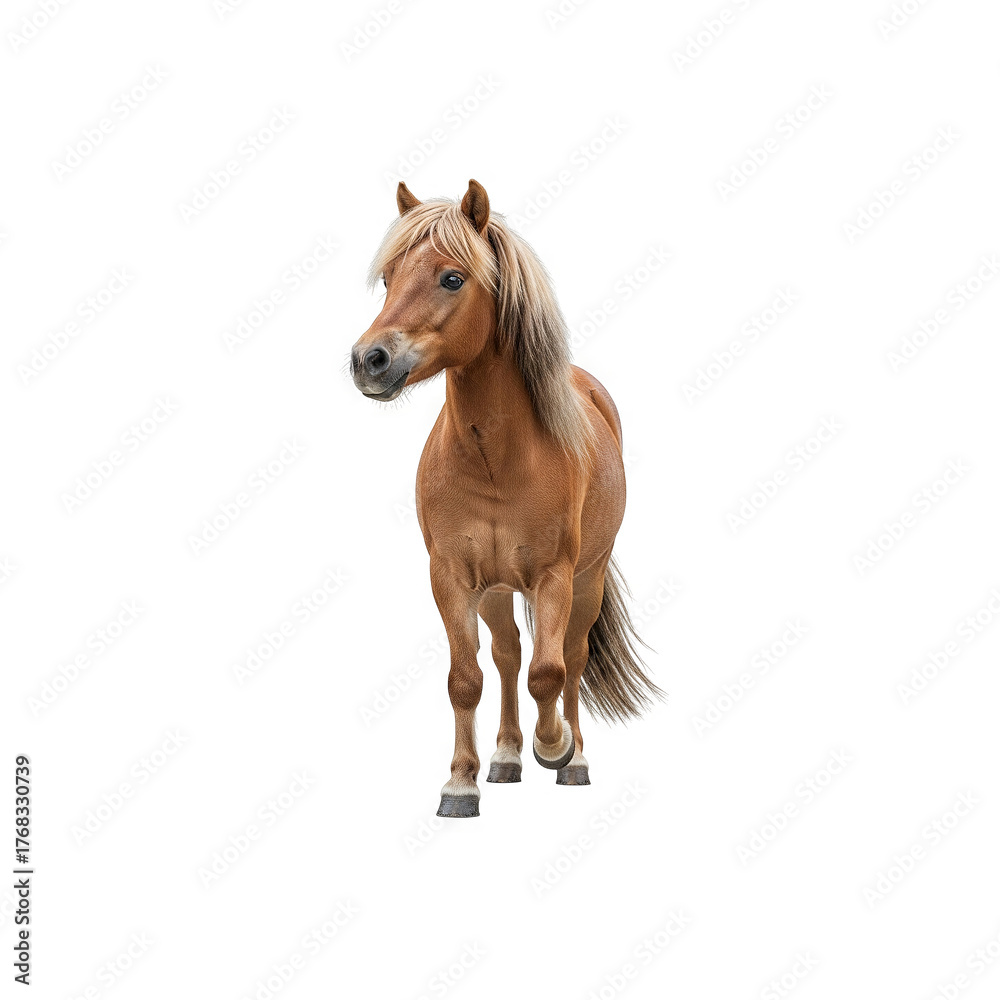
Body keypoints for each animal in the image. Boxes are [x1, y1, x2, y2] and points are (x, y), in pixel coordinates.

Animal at [350, 179, 662, 817]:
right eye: (389, 277)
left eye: (452, 278)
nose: (368, 360)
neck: (495, 462)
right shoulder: (451, 576)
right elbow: (466, 679)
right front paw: (461, 783)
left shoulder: (553, 575)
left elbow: (549, 672)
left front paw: (556, 748)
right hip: (495, 588)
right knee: (508, 655)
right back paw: (506, 757)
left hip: (586, 580)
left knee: (569, 660)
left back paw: (573, 759)